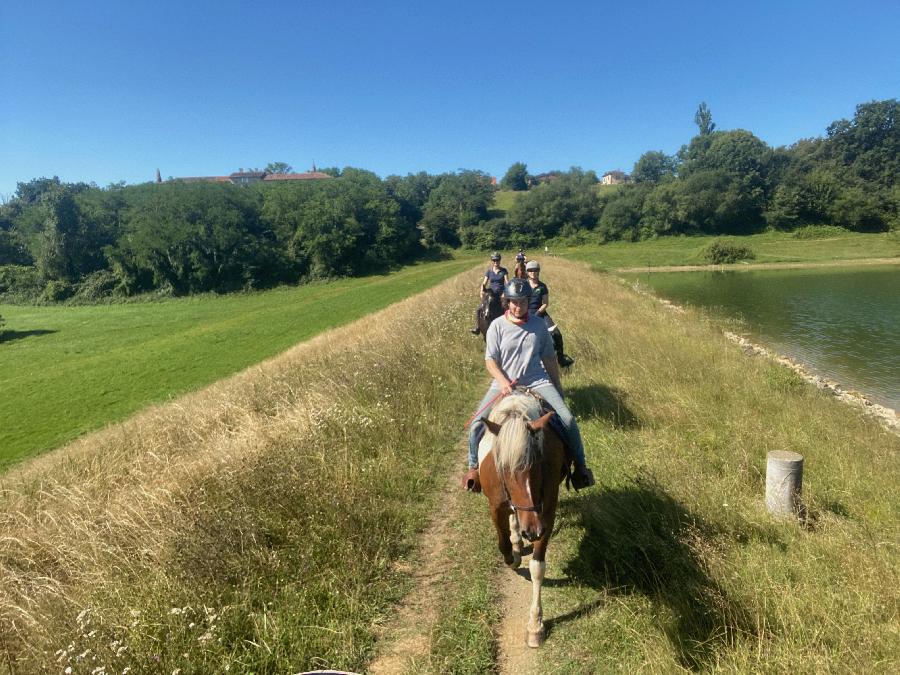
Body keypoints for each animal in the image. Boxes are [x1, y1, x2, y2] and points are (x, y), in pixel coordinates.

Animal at [474, 394, 568, 648]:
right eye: (505, 470)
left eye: (538, 465)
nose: (533, 531)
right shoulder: (495, 508)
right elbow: (503, 544)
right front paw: (513, 558)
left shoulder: (547, 512)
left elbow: (537, 567)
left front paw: (535, 625)